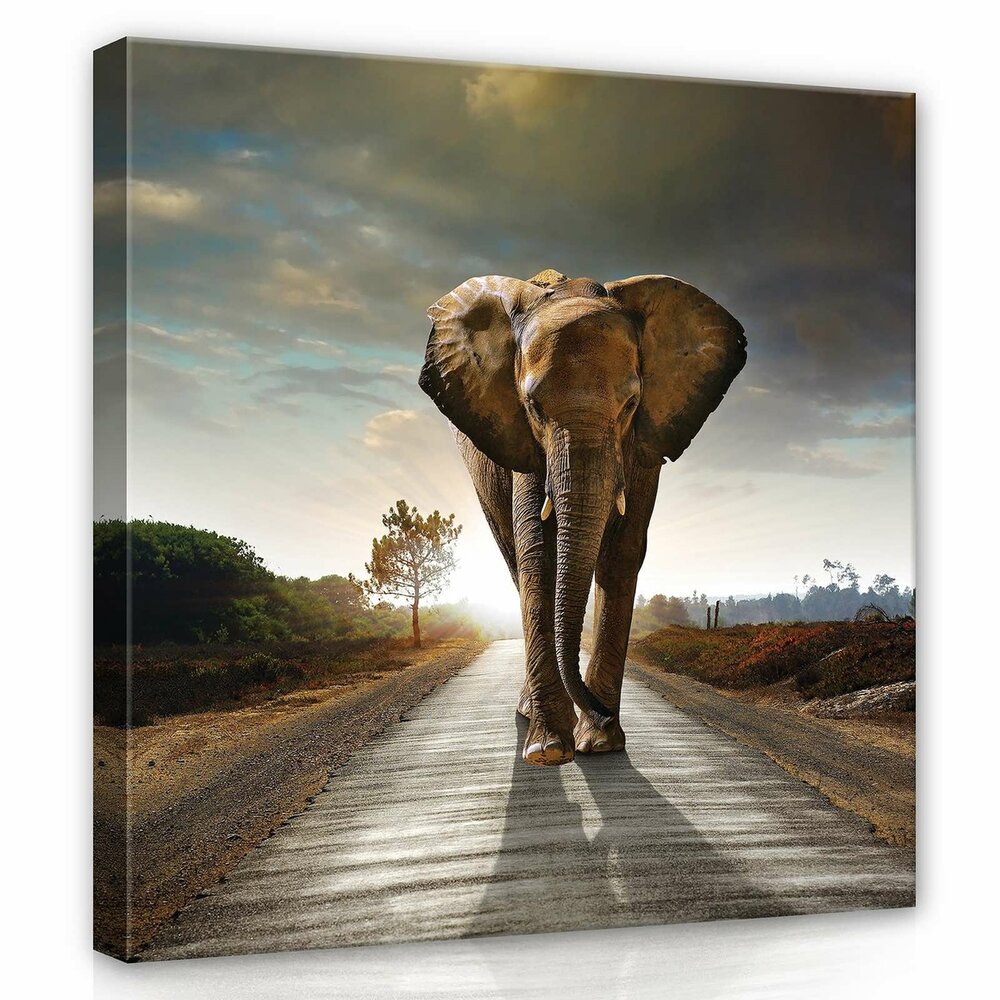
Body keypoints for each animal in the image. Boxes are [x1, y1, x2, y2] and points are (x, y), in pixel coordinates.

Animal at [418, 269, 746, 766]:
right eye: (533, 408)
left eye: (631, 404)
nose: (602, 713)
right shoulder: (523, 442)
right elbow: (538, 553)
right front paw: (551, 749)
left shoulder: (644, 442)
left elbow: (623, 553)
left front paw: (601, 743)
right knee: (515, 563)